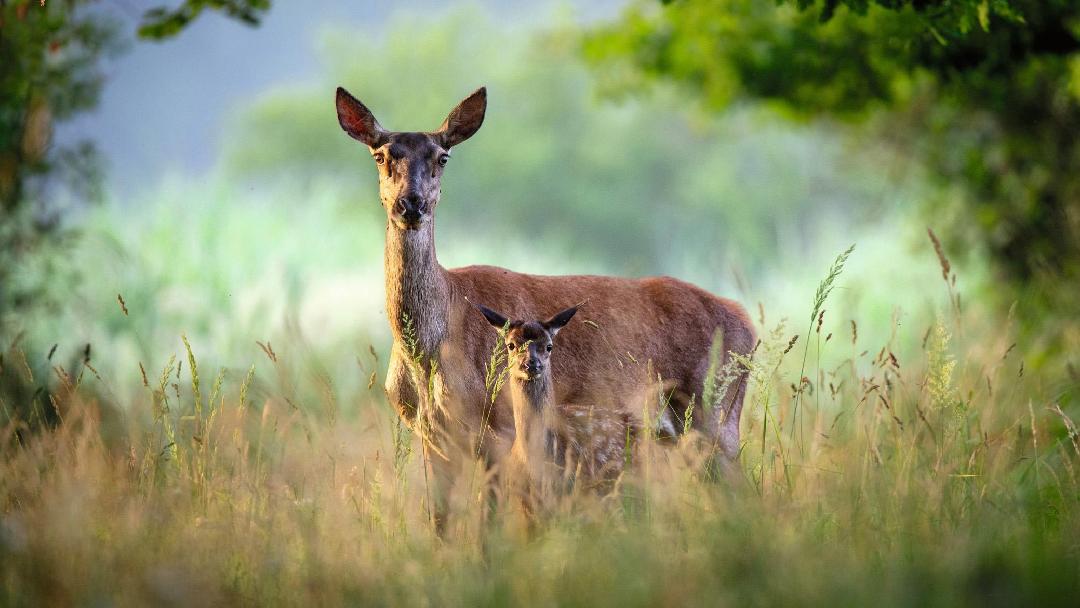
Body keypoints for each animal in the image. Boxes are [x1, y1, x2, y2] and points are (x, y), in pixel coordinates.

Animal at [332, 85, 756, 522]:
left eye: (442, 157)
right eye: (381, 155)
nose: (411, 204)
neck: (432, 348)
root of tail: (745, 321)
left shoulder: (501, 429)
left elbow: (491, 523)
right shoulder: (431, 437)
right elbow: (441, 522)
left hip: (715, 413)